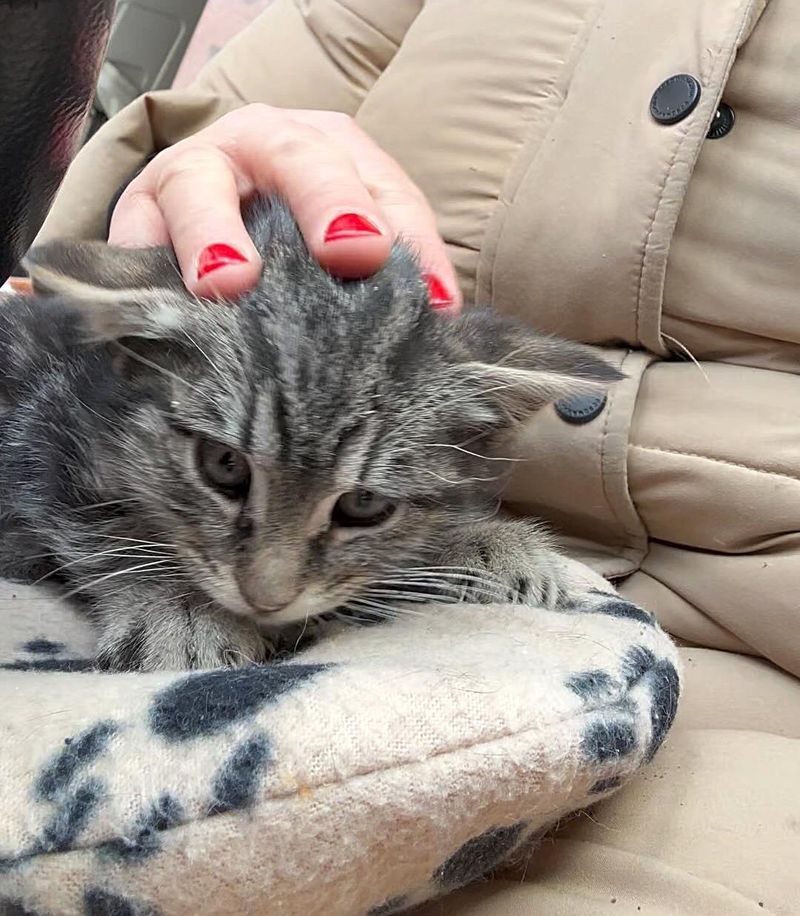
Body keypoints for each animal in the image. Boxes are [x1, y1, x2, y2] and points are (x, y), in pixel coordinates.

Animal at [0, 197, 620, 668]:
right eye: (223, 464)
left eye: (365, 504)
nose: (264, 599)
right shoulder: (41, 438)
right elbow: (104, 529)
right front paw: (183, 614)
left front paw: (497, 545)